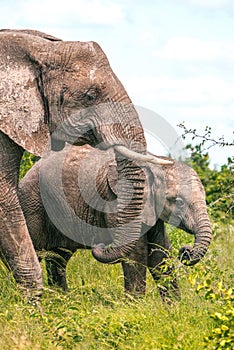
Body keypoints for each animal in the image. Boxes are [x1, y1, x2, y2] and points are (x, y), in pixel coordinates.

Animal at [18, 145, 212, 300]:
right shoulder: (118, 201)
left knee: (58, 258)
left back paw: (62, 300)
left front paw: (173, 308)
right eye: (178, 202)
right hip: (33, 205)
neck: (154, 164)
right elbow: (136, 253)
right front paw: (135, 306)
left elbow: (160, 251)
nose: (185, 250)